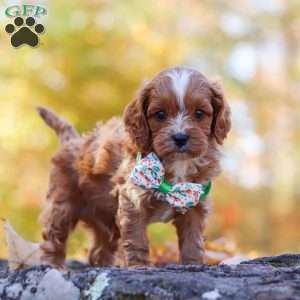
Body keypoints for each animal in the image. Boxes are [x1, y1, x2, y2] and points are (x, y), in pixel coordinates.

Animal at [37, 67, 230, 268]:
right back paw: (51, 264)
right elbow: (137, 238)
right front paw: (140, 266)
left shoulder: (194, 200)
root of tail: (72, 139)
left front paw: (193, 264)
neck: (176, 164)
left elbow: (193, 239)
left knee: (100, 247)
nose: (180, 137)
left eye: (199, 113)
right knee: (54, 236)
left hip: (104, 217)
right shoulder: (132, 198)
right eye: (160, 114)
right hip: (63, 203)